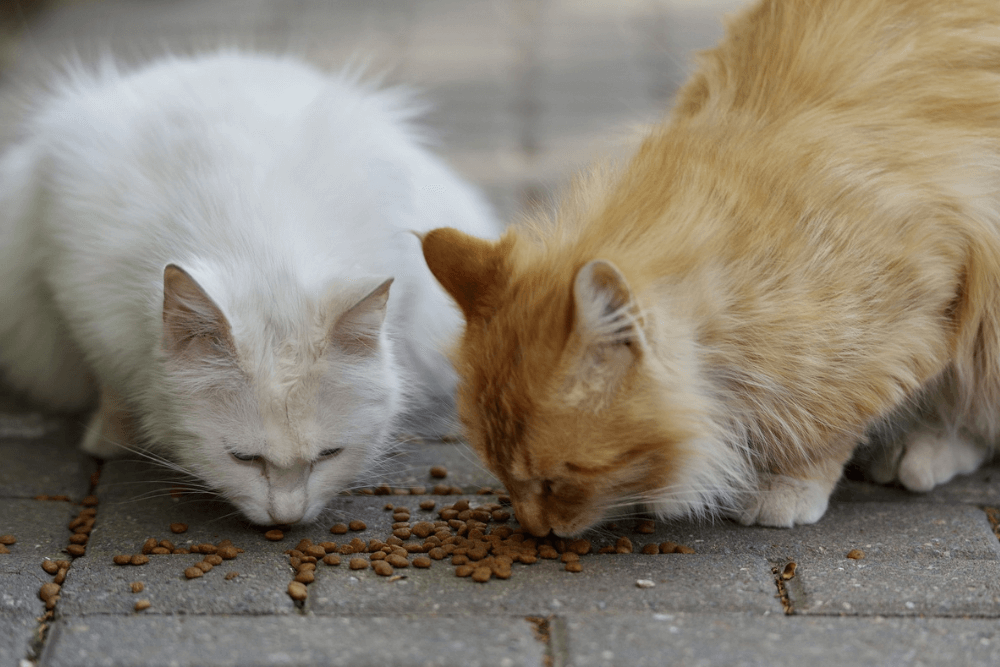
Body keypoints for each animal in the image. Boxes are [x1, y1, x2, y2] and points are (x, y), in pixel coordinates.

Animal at [0, 49, 498, 524]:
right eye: (243, 458)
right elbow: (112, 386)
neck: (261, 251)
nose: (287, 519)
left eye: (329, 455)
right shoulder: (82, 299)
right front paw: (108, 439)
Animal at [420, 0, 1000, 536]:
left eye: (557, 478)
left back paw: (923, 452)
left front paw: (788, 484)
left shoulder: (918, 315)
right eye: (501, 474)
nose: (533, 527)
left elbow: (828, 421)